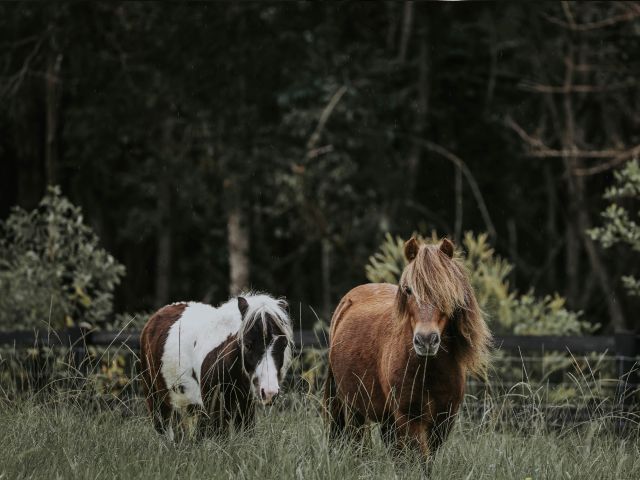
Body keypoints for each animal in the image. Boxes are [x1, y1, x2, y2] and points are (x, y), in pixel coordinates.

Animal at [140, 293, 293, 440]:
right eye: (248, 345)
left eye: (283, 345)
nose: (269, 393)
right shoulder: (215, 411)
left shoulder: (245, 408)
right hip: (157, 400)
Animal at [324, 237, 490, 460]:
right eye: (408, 289)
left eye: (445, 291)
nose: (426, 340)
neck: (429, 370)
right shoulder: (409, 418)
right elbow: (418, 459)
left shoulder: (443, 420)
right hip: (352, 407)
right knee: (358, 443)